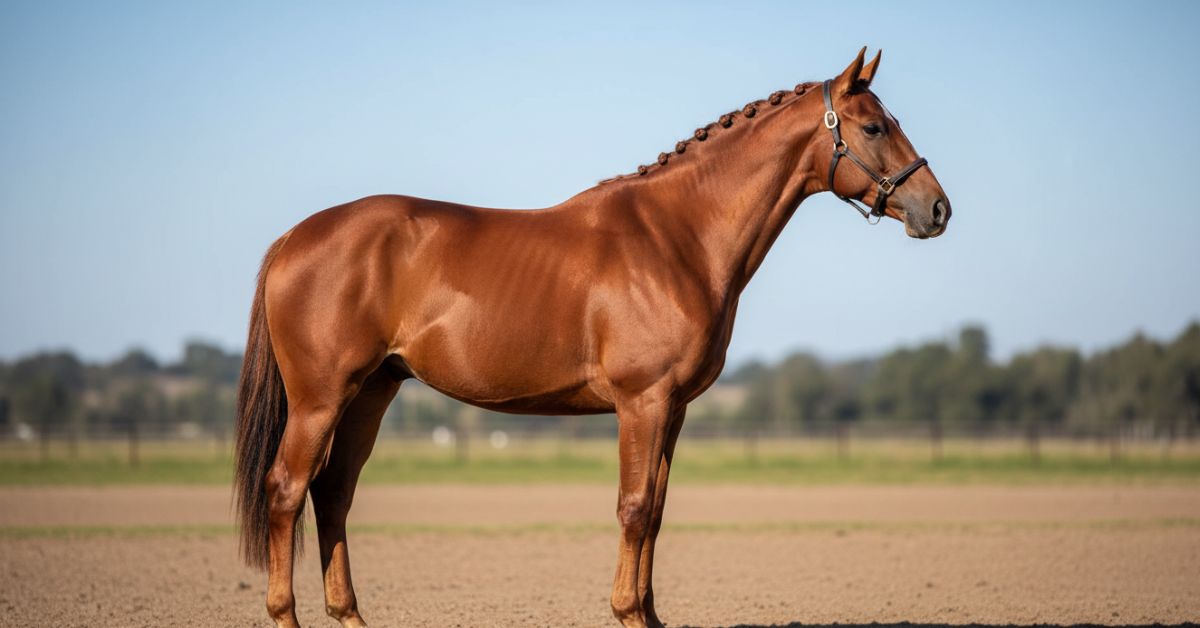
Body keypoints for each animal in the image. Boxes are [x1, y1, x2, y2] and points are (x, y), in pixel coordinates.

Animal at [233, 47, 951, 628]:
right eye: (873, 126)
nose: (937, 208)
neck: (677, 237)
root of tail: (293, 238)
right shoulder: (642, 401)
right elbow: (633, 507)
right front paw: (628, 612)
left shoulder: (674, 409)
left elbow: (656, 511)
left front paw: (649, 614)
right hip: (322, 398)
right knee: (286, 491)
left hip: (372, 392)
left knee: (332, 493)